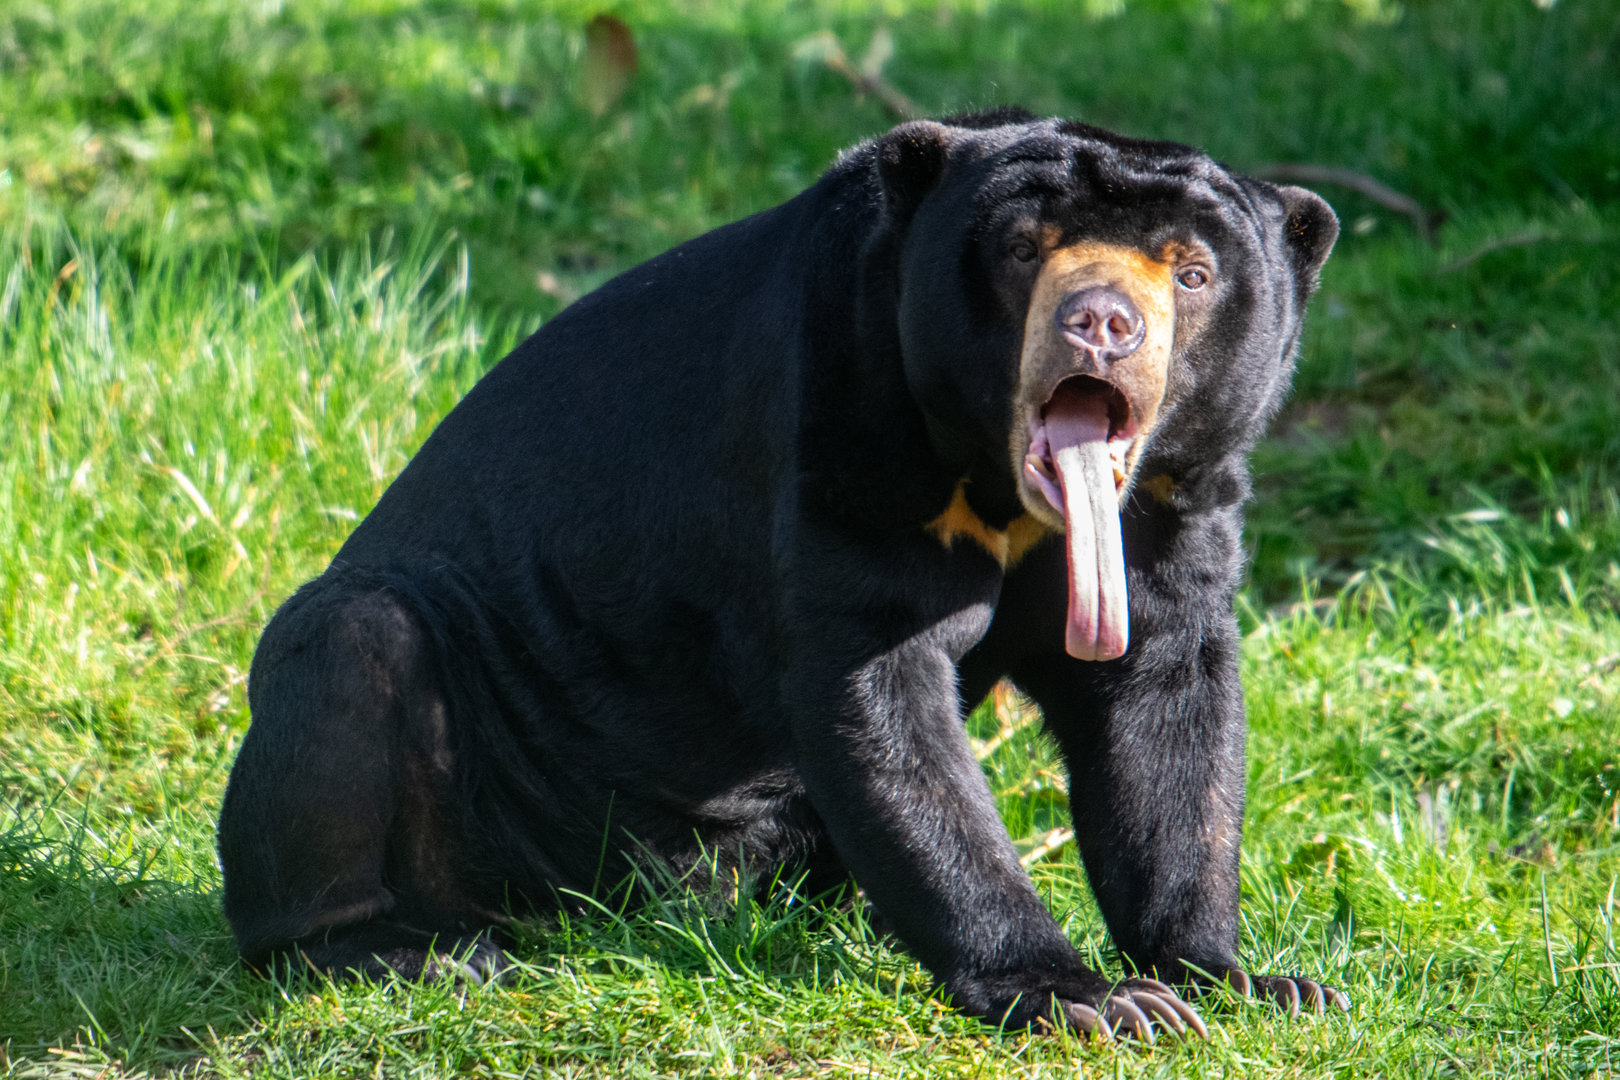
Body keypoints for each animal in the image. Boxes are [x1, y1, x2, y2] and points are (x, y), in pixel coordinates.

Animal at [217, 109, 1344, 1040]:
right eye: (1024, 250)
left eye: (1190, 273)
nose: (1102, 322)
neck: (997, 484)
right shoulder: (848, 414)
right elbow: (879, 693)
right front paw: (1086, 999)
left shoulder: (1171, 506)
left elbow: (1164, 708)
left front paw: (1241, 981)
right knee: (350, 654)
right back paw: (407, 953)